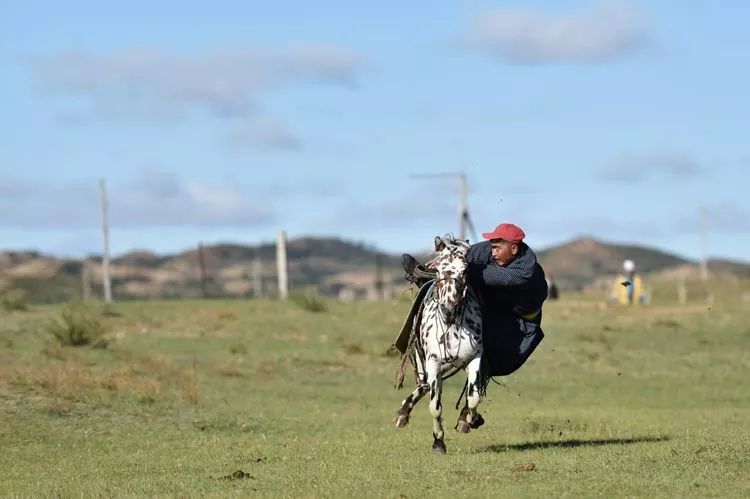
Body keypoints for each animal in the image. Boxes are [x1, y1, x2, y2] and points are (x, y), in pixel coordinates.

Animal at [394, 236, 488, 456]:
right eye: (437, 269)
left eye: (465, 270)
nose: (449, 306)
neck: (452, 325)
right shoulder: (433, 363)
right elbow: (435, 407)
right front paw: (438, 442)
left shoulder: (474, 359)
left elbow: (473, 397)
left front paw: (470, 419)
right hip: (423, 363)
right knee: (425, 385)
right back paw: (403, 413)